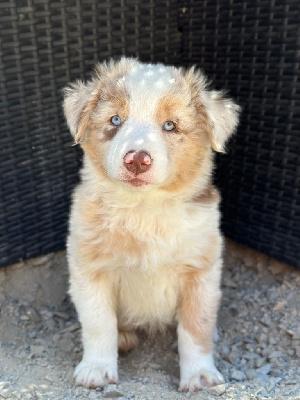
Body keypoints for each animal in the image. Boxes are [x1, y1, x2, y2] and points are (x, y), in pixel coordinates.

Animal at [62, 57, 239, 392]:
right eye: (116, 120)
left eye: (170, 125)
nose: (137, 159)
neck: (144, 207)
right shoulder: (90, 269)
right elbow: (98, 323)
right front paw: (96, 369)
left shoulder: (201, 270)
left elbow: (196, 326)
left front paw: (199, 375)